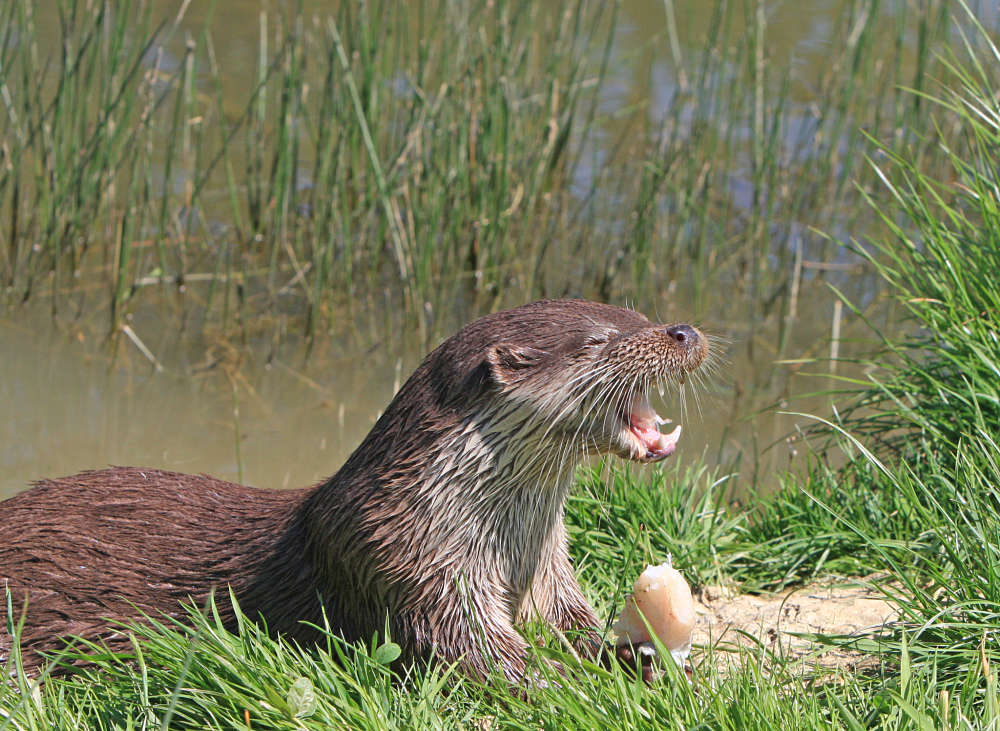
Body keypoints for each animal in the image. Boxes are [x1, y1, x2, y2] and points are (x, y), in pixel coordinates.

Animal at [0, 296, 708, 680]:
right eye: (602, 340)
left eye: (639, 312)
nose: (685, 331)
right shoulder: (409, 569)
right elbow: (478, 653)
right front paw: (558, 682)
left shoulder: (548, 574)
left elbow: (573, 623)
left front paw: (638, 658)